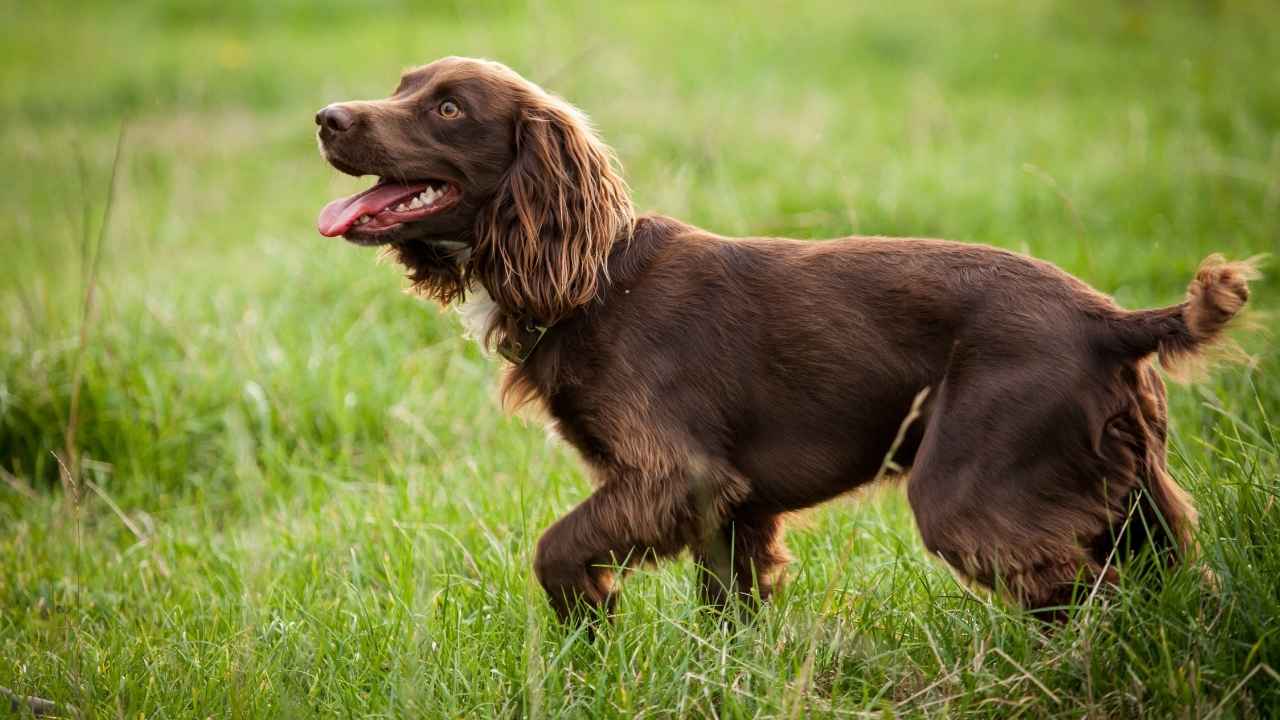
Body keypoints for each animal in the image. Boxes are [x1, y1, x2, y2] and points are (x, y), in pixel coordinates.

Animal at [314, 56, 1254, 620]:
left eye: (446, 107)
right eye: (402, 84)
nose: (325, 117)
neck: (594, 281)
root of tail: (1111, 321)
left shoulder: (674, 476)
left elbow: (555, 549)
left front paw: (592, 622)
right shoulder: (730, 508)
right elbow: (725, 614)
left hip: (974, 491)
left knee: (1090, 597)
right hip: (1132, 495)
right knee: (1173, 584)